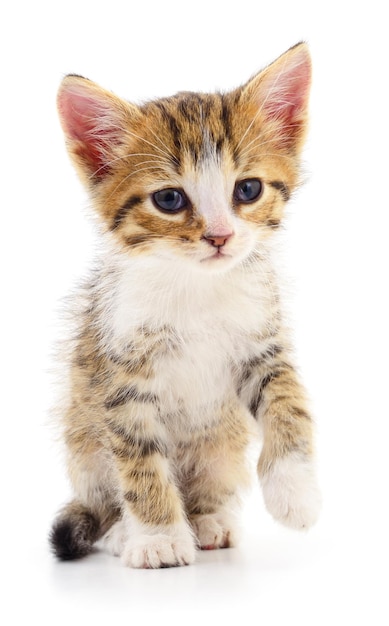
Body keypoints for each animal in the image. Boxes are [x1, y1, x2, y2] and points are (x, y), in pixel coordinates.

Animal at [50, 44, 320, 568]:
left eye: (248, 189)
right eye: (170, 199)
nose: (220, 236)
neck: (199, 287)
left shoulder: (263, 344)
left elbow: (289, 402)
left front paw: (295, 492)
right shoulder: (121, 374)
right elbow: (139, 461)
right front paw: (157, 537)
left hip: (222, 443)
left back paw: (208, 521)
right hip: (82, 439)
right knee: (103, 501)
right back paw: (124, 533)